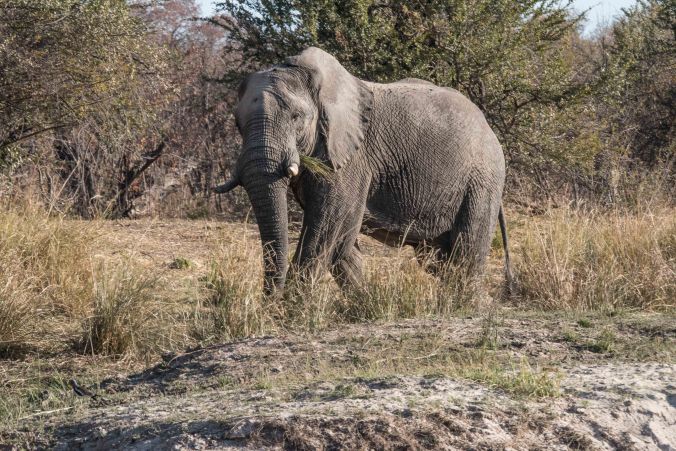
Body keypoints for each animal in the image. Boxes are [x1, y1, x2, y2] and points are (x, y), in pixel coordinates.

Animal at [215, 47, 512, 295]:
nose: (270, 303)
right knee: (437, 260)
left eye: (296, 118)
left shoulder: (352, 159)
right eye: (237, 123)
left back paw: (464, 304)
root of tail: (488, 126)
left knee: (466, 253)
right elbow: (342, 244)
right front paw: (365, 303)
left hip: (483, 178)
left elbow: (326, 230)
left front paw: (293, 311)